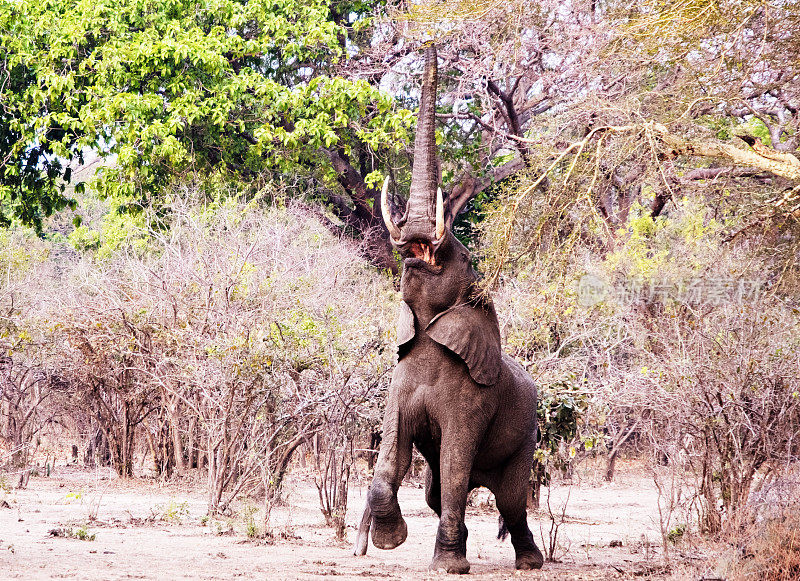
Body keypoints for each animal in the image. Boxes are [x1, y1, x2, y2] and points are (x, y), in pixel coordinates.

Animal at [352, 44, 544, 572]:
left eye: (462, 256)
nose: (432, 45)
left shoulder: (472, 401)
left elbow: (457, 462)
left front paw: (449, 566)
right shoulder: (398, 384)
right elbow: (390, 461)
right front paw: (392, 542)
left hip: (527, 436)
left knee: (510, 498)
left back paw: (530, 562)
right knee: (439, 493)